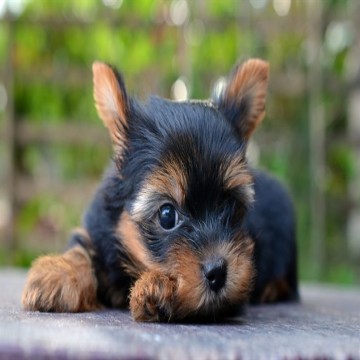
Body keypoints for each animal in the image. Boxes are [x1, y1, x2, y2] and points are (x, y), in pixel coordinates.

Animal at [22, 58, 298, 320]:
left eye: (230, 205)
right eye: (167, 215)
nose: (218, 271)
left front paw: (160, 287)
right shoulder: (99, 227)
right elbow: (83, 249)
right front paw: (57, 273)